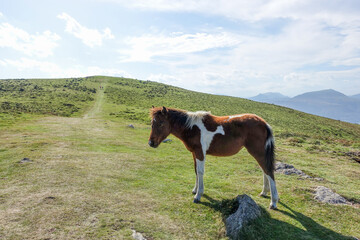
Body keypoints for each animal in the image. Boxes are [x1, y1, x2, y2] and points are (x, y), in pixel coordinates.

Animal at [148, 106, 280, 209]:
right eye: (152, 123)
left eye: (161, 123)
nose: (151, 143)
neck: (192, 128)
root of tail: (264, 123)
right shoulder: (194, 153)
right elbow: (196, 171)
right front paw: (195, 190)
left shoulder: (200, 153)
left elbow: (200, 172)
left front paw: (198, 195)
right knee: (264, 171)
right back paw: (264, 192)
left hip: (258, 152)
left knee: (268, 171)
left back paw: (273, 202)